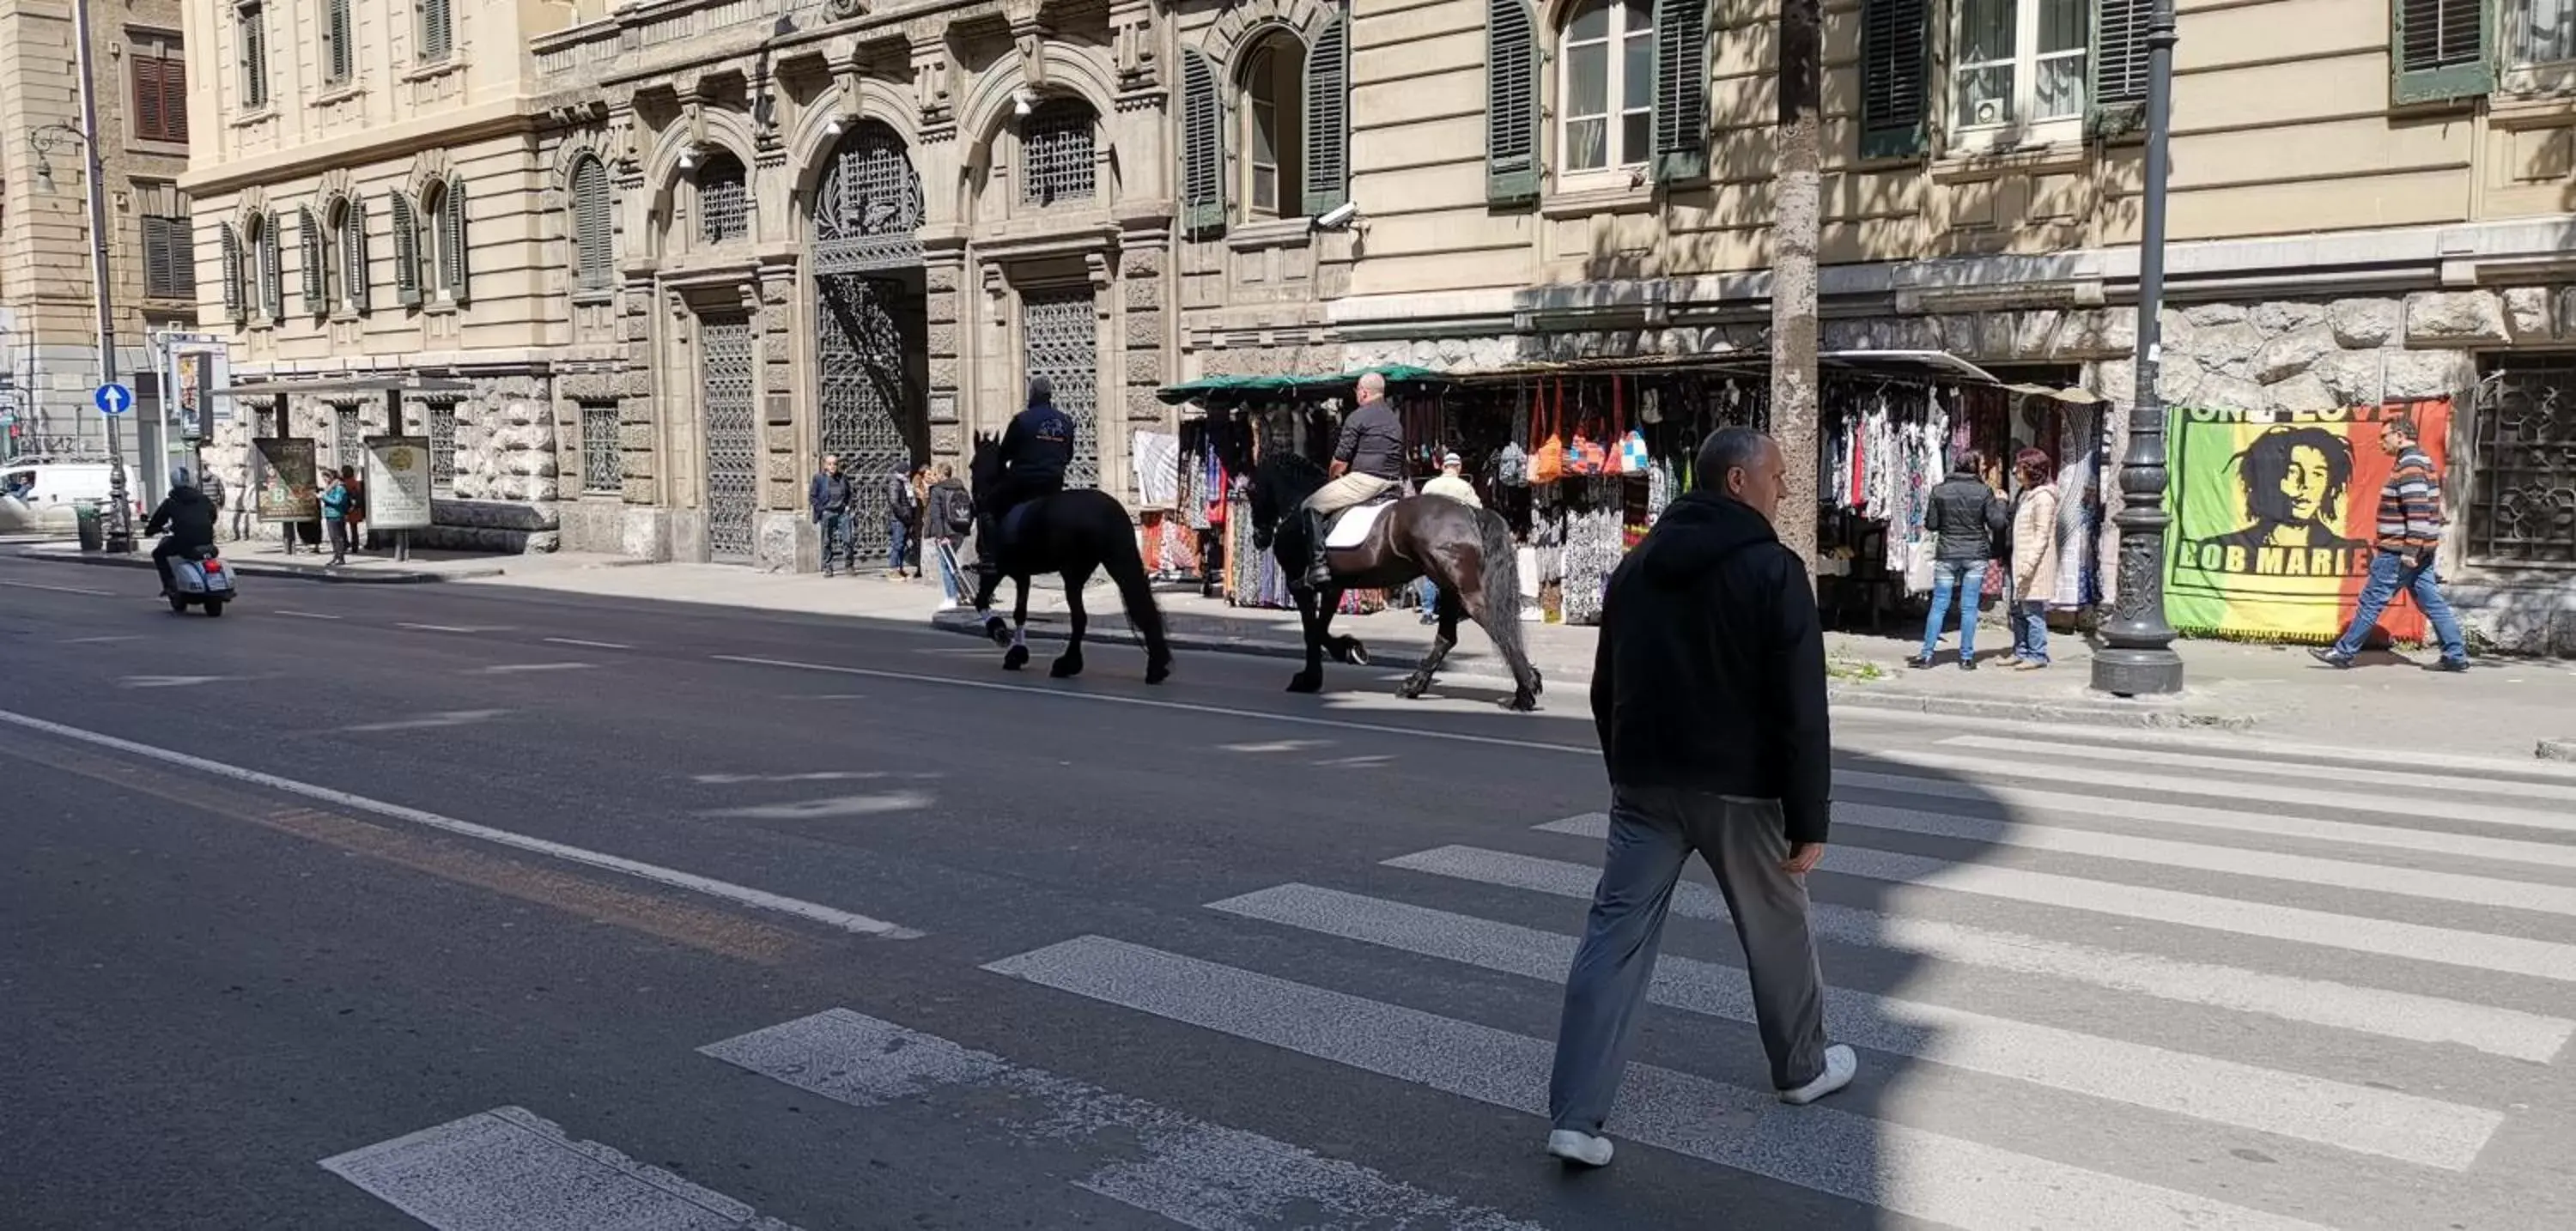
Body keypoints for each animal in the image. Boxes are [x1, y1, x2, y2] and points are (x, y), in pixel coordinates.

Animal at [963, 430, 1175, 685]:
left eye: (972, 465)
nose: (976, 499)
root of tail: (1109, 512)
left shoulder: (996, 570)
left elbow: (982, 601)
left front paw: (1000, 633)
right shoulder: (1022, 575)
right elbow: (1020, 612)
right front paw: (1017, 653)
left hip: (1073, 572)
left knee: (1080, 617)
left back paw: (1067, 664)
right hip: (1113, 562)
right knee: (1136, 607)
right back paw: (1155, 666)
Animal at [1242, 453, 1535, 706]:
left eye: (1252, 488)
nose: (1259, 537)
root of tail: (1471, 512)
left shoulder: (1300, 585)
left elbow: (1312, 631)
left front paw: (1319, 671)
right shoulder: (1333, 587)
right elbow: (1319, 628)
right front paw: (1345, 652)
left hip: (1463, 589)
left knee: (1496, 626)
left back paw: (1525, 692)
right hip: (1450, 588)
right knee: (1447, 638)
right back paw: (1414, 685)